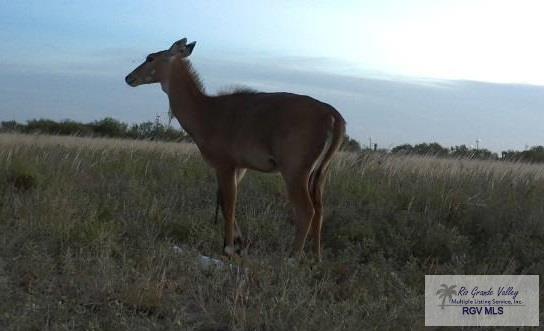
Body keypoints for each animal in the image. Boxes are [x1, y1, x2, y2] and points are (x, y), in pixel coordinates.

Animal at [125, 39, 344, 262]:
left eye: (151, 57)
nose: (129, 77)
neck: (204, 111)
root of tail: (333, 116)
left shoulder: (225, 164)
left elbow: (229, 204)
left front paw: (229, 248)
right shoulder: (239, 167)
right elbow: (224, 202)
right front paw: (238, 244)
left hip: (295, 170)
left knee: (306, 210)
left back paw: (292, 258)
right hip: (320, 172)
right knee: (320, 209)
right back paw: (316, 258)